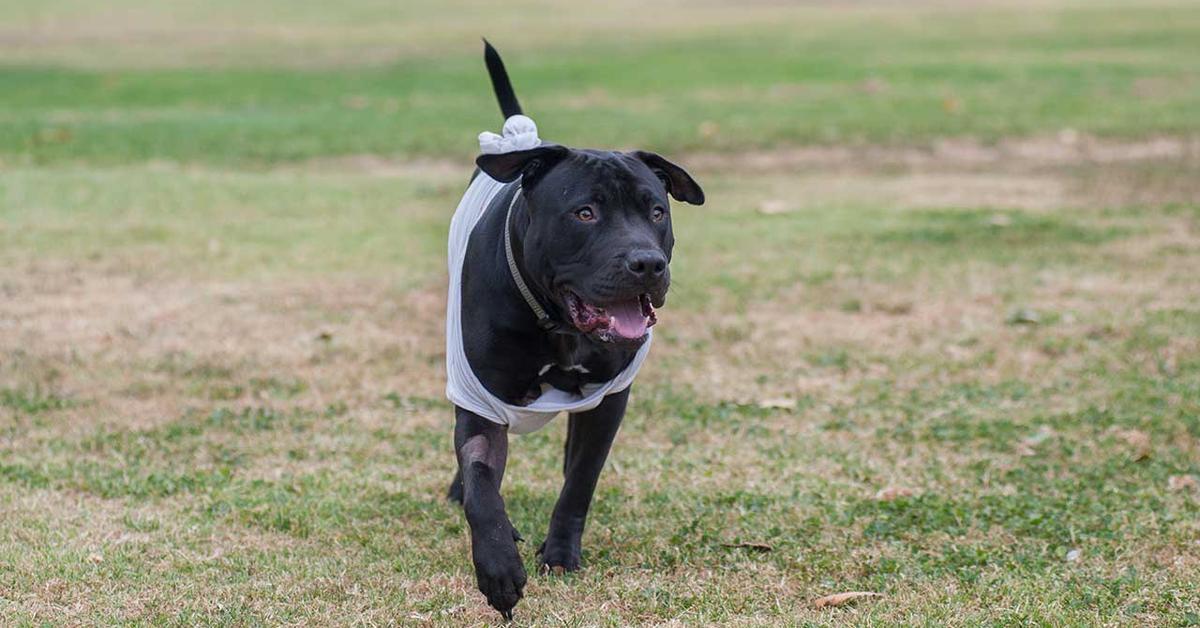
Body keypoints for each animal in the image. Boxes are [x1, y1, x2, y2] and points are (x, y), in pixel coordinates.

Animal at [444, 42, 700, 619]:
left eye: (657, 212)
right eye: (584, 213)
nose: (647, 264)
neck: (556, 322)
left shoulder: (609, 399)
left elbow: (581, 479)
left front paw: (560, 553)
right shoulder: (479, 398)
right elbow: (481, 484)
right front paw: (498, 568)